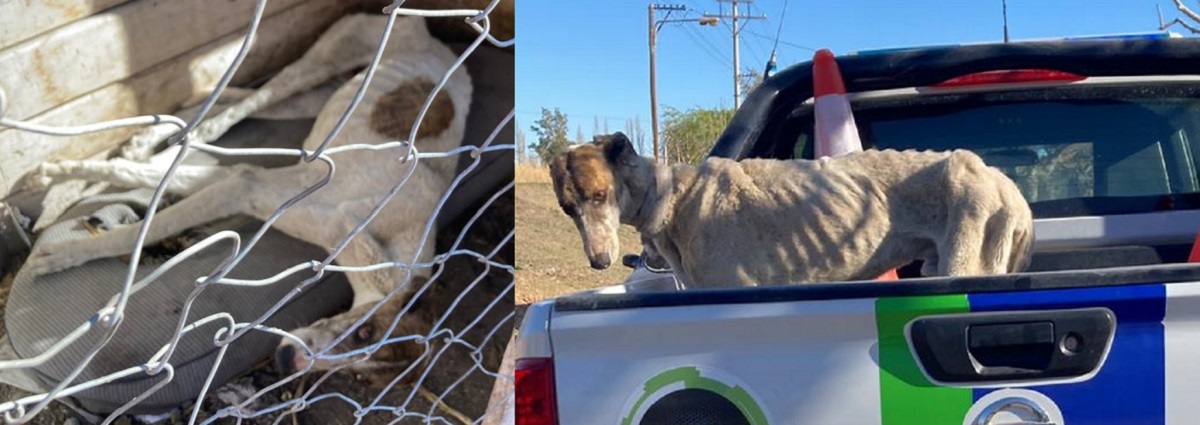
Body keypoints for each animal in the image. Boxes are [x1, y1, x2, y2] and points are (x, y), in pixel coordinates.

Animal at [19, 14, 468, 381]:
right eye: (366, 332)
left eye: (359, 376)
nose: (286, 363)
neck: (391, 243)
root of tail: (427, 29)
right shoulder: (251, 187)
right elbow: (148, 219)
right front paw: (59, 247)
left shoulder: (246, 184)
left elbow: (169, 180)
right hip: (315, 67)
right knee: (234, 109)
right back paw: (152, 143)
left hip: (316, 97)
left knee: (225, 105)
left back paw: (149, 140)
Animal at [549, 132, 1036, 289]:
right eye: (568, 207)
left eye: (599, 196)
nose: (599, 261)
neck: (675, 196)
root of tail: (1007, 185)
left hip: (967, 259)